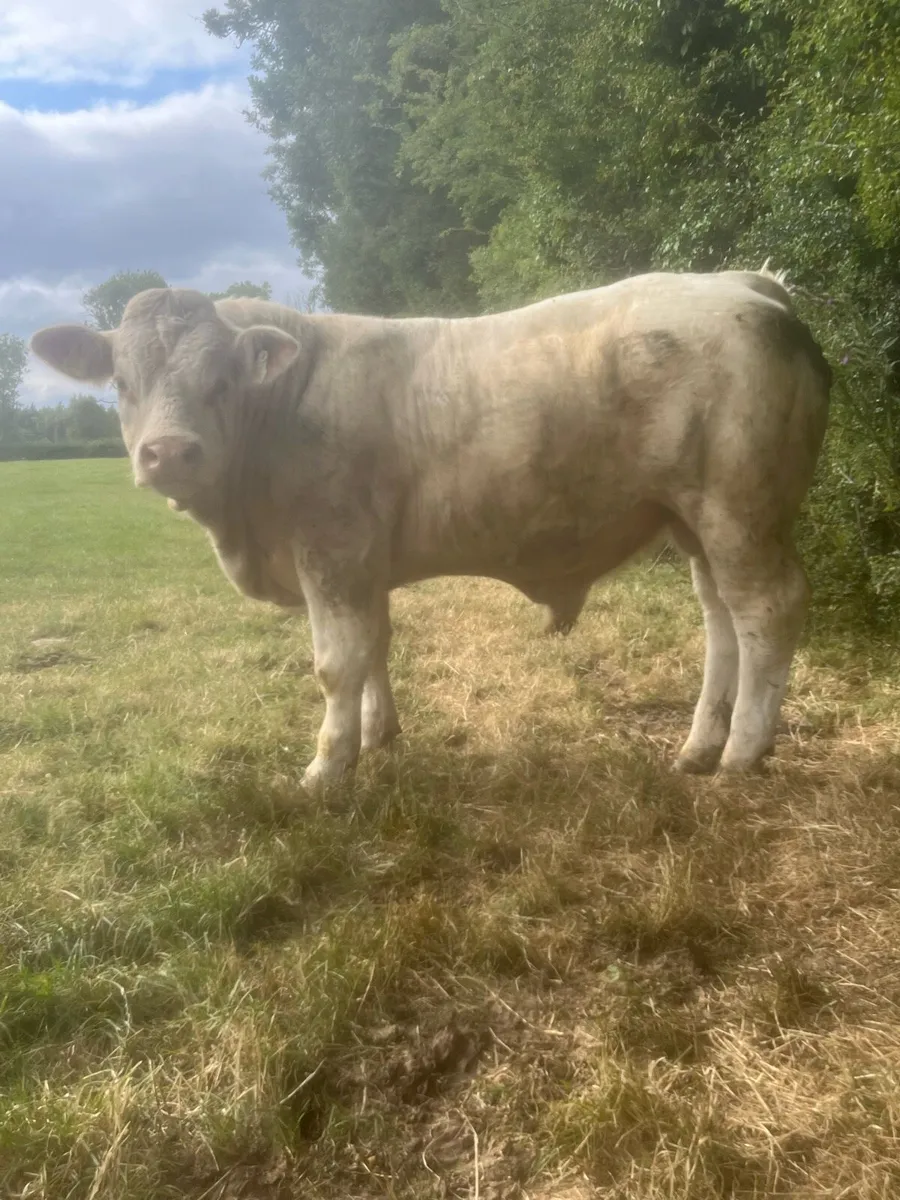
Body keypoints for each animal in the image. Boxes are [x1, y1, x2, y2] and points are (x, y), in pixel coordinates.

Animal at [30, 269, 831, 792]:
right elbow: (377, 646)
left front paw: (327, 769)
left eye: (220, 382)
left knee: (766, 612)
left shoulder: (333, 550)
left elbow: (337, 662)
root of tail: (747, 284)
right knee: (721, 621)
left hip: (739, 510)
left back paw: (742, 755)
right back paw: (699, 747)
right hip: (694, 520)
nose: (168, 453)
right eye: (122, 383)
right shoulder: (363, 564)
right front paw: (378, 736)